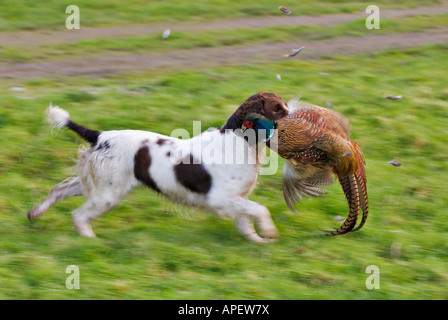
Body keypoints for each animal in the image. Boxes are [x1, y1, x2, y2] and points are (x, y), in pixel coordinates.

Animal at [28, 92, 288, 242]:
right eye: (278, 109)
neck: (240, 142)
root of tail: (100, 135)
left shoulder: (235, 199)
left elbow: (246, 221)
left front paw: (259, 240)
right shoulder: (221, 197)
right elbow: (260, 209)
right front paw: (269, 232)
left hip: (97, 184)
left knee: (58, 190)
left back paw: (34, 213)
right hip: (108, 194)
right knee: (79, 215)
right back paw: (91, 240)